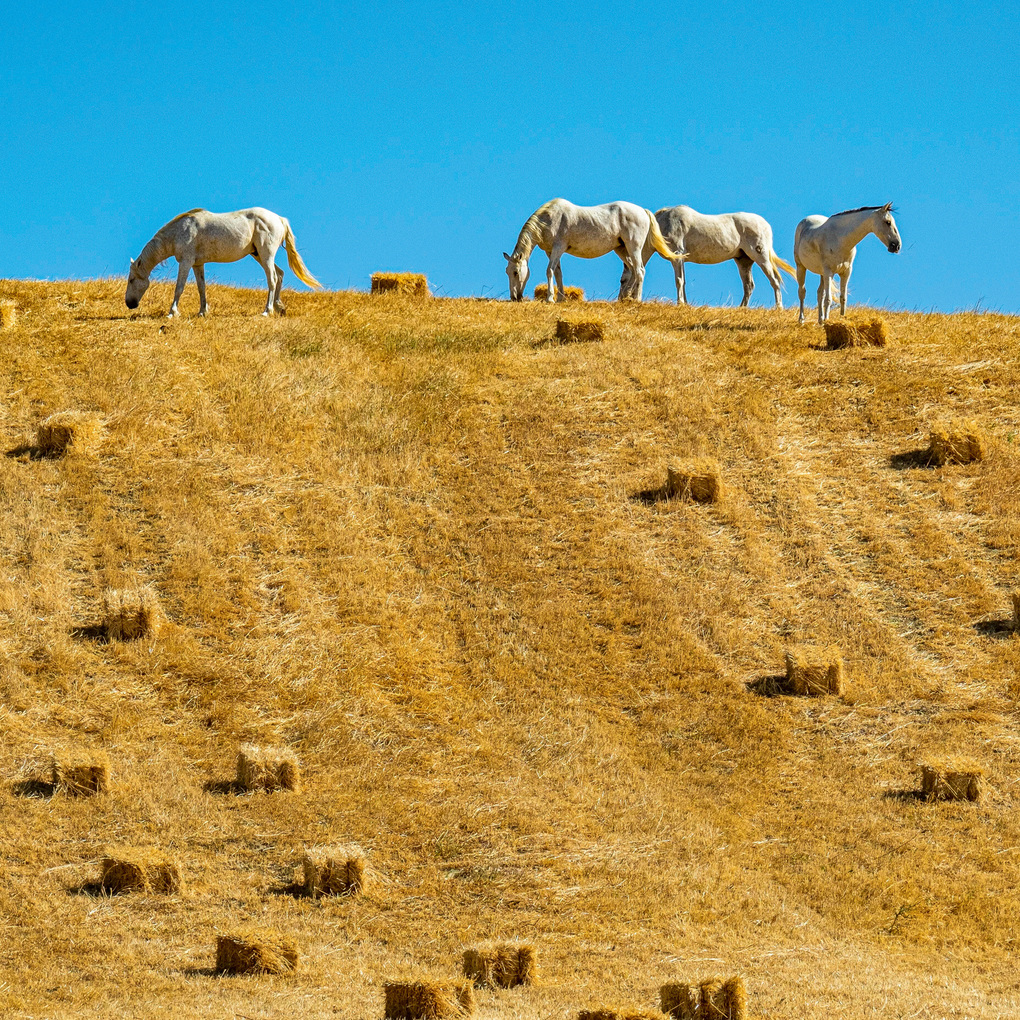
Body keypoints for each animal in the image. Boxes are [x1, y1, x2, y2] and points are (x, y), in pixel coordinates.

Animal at [125, 207, 321, 317]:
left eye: (131, 280)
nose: (129, 304)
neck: (180, 232)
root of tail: (279, 219)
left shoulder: (186, 262)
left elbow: (179, 288)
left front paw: (172, 312)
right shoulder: (197, 264)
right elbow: (201, 288)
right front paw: (202, 312)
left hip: (266, 255)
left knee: (272, 279)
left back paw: (267, 310)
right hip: (258, 254)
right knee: (279, 275)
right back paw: (279, 307)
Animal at [503, 198, 683, 302]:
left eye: (516, 272)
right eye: (507, 271)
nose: (514, 297)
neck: (548, 219)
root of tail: (643, 211)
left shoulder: (558, 248)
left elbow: (549, 271)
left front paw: (550, 298)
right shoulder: (551, 251)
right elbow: (558, 273)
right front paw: (561, 298)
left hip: (634, 248)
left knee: (640, 271)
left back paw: (637, 299)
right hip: (621, 249)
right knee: (632, 271)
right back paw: (625, 299)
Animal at [620, 206, 796, 307]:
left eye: (622, 280)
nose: (621, 300)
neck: (662, 224)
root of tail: (765, 225)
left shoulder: (677, 256)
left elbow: (679, 280)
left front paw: (680, 303)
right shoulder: (682, 259)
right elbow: (683, 281)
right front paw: (685, 304)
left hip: (761, 256)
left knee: (775, 280)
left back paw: (778, 307)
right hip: (743, 261)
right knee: (749, 285)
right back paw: (742, 308)